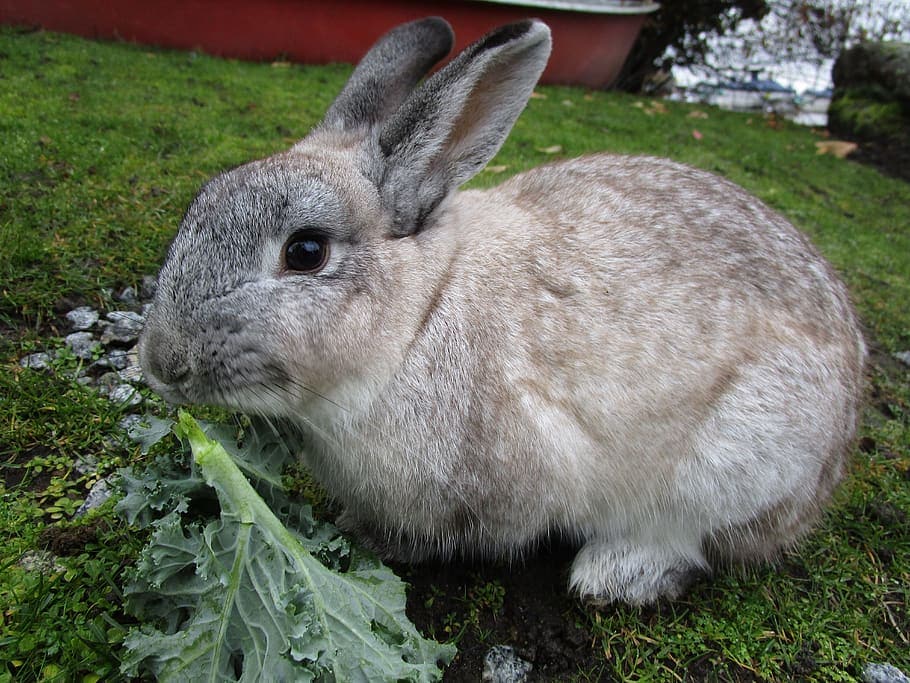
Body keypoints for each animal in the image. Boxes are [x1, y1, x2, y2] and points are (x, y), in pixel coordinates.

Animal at [139, 16, 867, 605]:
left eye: (307, 251)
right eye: (197, 207)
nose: (162, 362)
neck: (419, 315)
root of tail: (834, 457)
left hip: (737, 463)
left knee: (692, 541)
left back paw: (612, 574)